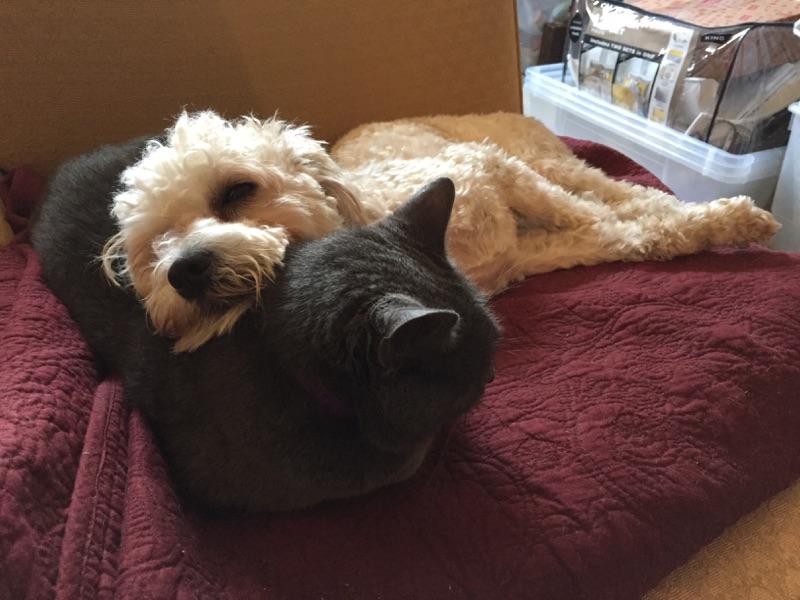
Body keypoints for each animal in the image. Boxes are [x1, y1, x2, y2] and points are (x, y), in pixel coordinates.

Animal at [32, 141, 500, 510]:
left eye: (238, 191)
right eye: (474, 372)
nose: (493, 377)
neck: (277, 351)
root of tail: (68, 165)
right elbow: (407, 457)